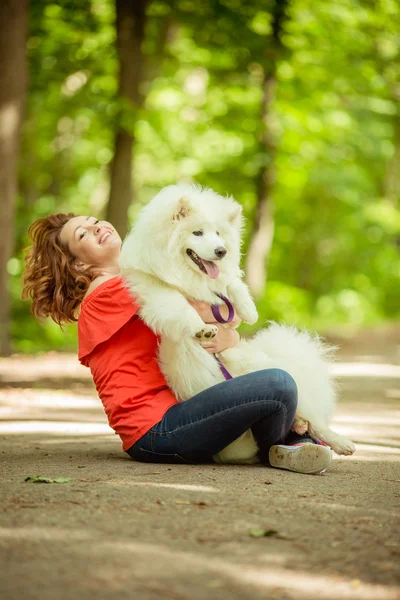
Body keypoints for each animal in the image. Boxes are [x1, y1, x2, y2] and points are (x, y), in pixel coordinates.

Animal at [119, 184, 356, 464]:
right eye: (197, 232)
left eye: (218, 234)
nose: (221, 251)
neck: (187, 276)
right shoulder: (155, 289)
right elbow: (180, 305)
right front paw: (201, 328)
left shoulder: (220, 285)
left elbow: (232, 283)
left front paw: (249, 310)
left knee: (315, 419)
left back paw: (337, 441)